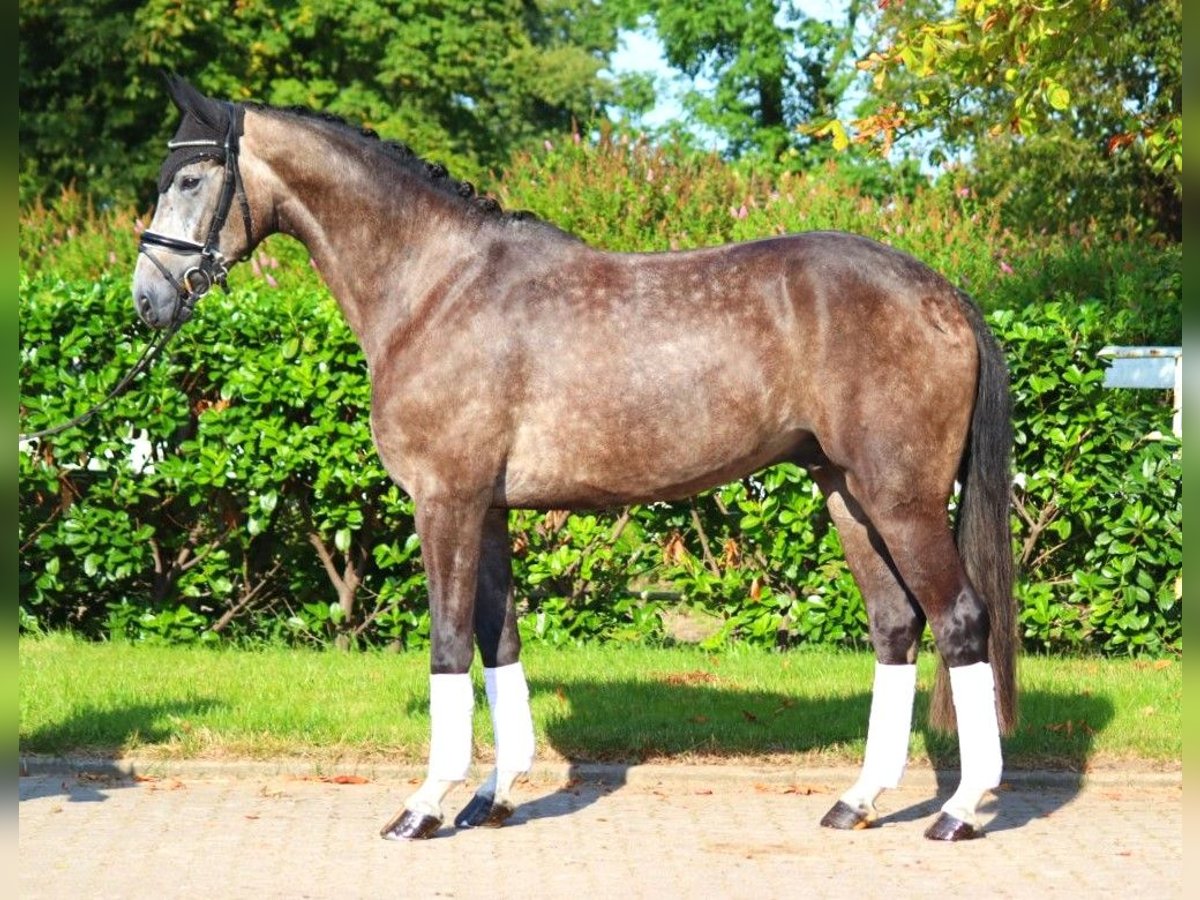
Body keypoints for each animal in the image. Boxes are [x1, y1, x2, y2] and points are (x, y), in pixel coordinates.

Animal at [133, 77, 1012, 844]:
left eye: (193, 177)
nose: (147, 299)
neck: (435, 287)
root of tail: (941, 292)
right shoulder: (486, 509)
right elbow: (500, 642)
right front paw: (490, 797)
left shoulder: (444, 501)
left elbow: (450, 644)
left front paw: (423, 806)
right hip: (847, 495)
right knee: (896, 626)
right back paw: (858, 801)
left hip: (901, 499)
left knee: (960, 621)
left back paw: (960, 811)